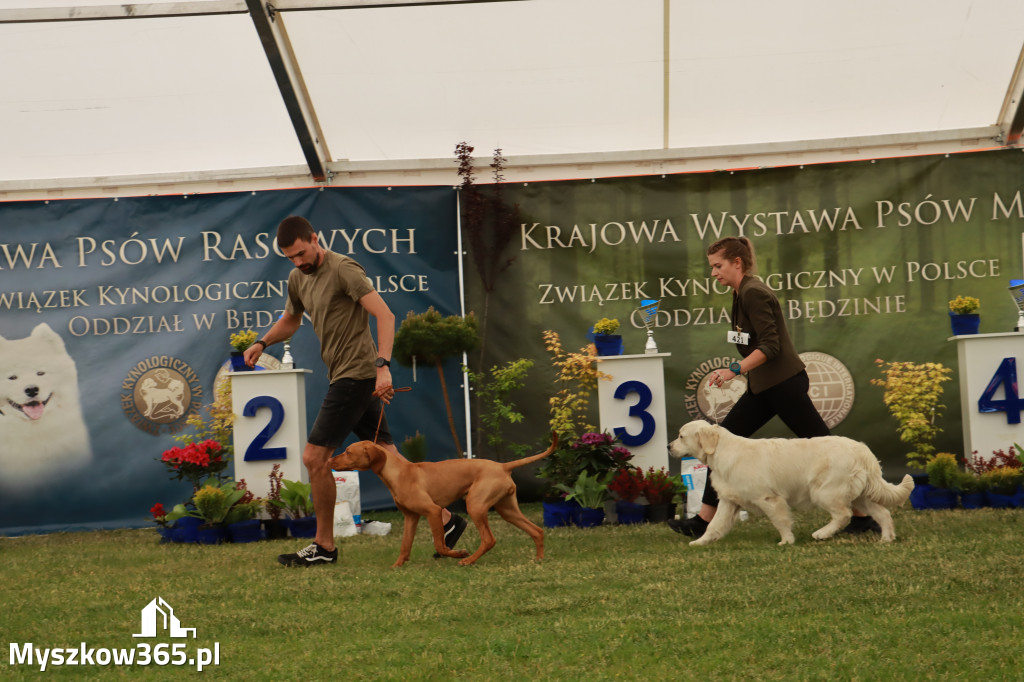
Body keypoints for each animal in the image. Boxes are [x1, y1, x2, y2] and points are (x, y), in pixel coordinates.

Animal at [329, 436, 557, 561]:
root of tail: (502, 466)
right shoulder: (411, 517)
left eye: (348, 451)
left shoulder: (433, 511)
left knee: (489, 539)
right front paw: (397, 566)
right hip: (507, 510)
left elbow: (440, 545)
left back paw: (468, 561)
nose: (330, 460)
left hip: (475, 505)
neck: (399, 473)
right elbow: (405, 546)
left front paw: (458, 553)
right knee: (537, 531)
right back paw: (538, 559)